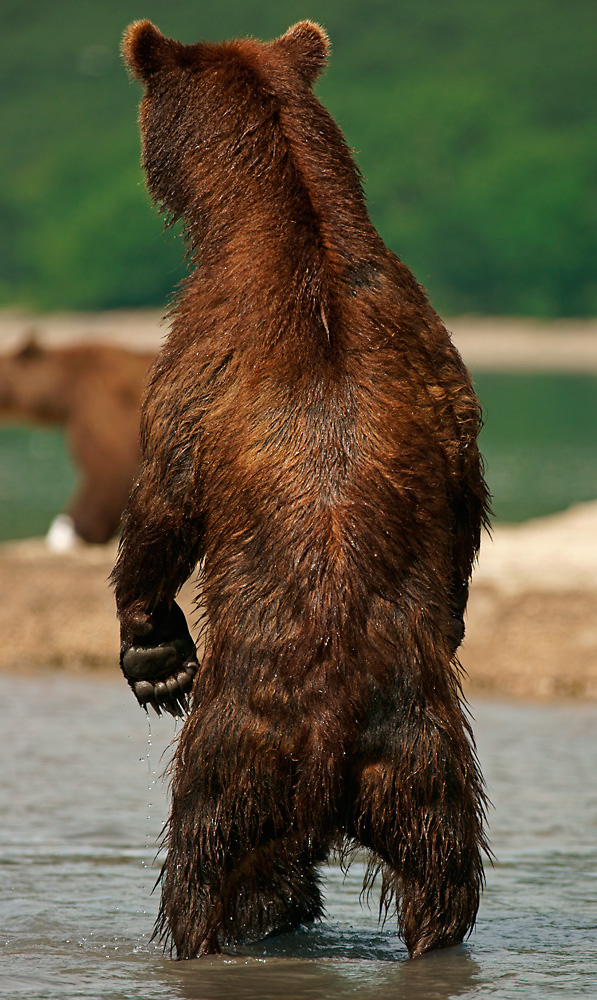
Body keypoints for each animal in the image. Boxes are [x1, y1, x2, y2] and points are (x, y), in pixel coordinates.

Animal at [112, 17, 488, 960]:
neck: (296, 218)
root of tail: (328, 736)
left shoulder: (198, 361)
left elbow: (162, 501)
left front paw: (154, 654)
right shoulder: (439, 369)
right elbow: (466, 512)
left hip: (236, 748)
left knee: (200, 862)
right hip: (422, 757)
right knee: (443, 876)